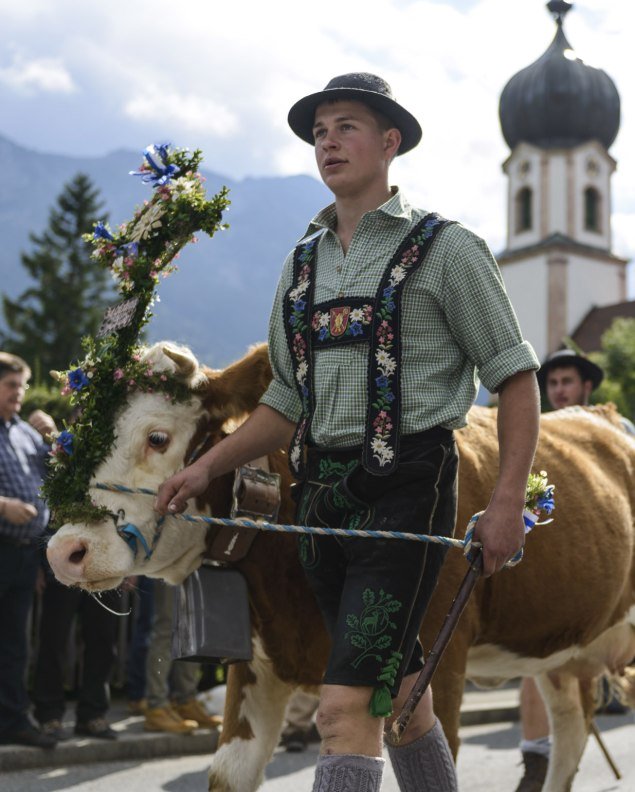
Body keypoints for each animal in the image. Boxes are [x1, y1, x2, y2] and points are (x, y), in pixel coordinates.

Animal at [47, 340, 635, 792]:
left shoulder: (436, 665)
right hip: (560, 652)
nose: (65, 550)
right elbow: (228, 773)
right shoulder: (258, 665)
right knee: (570, 731)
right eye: (70, 439)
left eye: (157, 437)